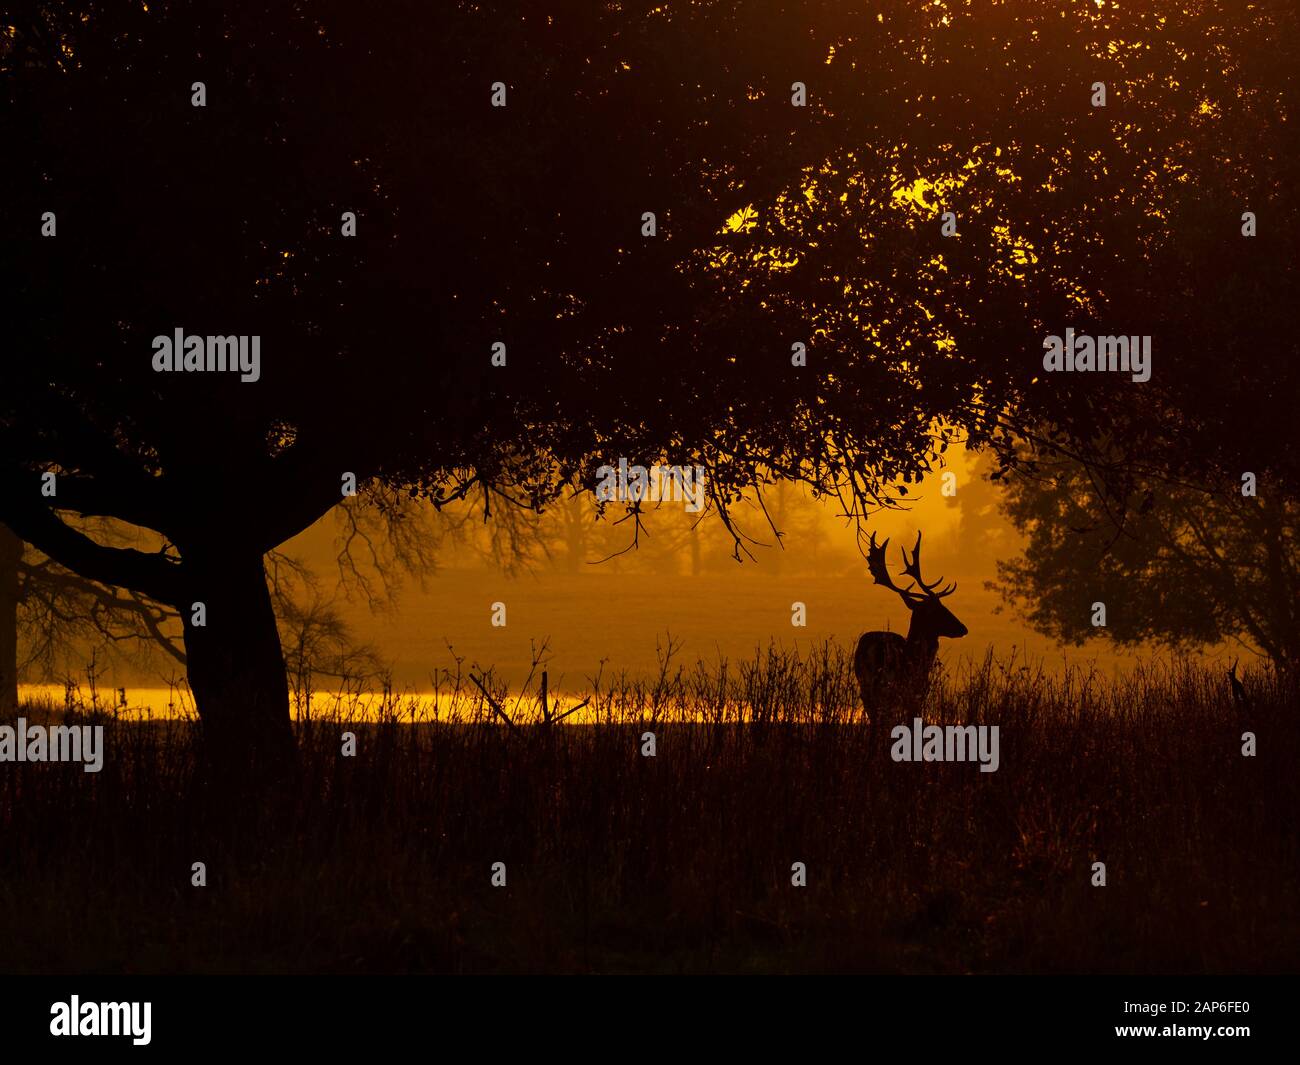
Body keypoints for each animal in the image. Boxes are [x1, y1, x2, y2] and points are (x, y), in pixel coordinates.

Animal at [852, 530, 967, 717]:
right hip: (888, 687)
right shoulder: (916, 694)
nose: (963, 628)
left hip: (867, 688)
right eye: (937, 609)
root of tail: (873, 649)